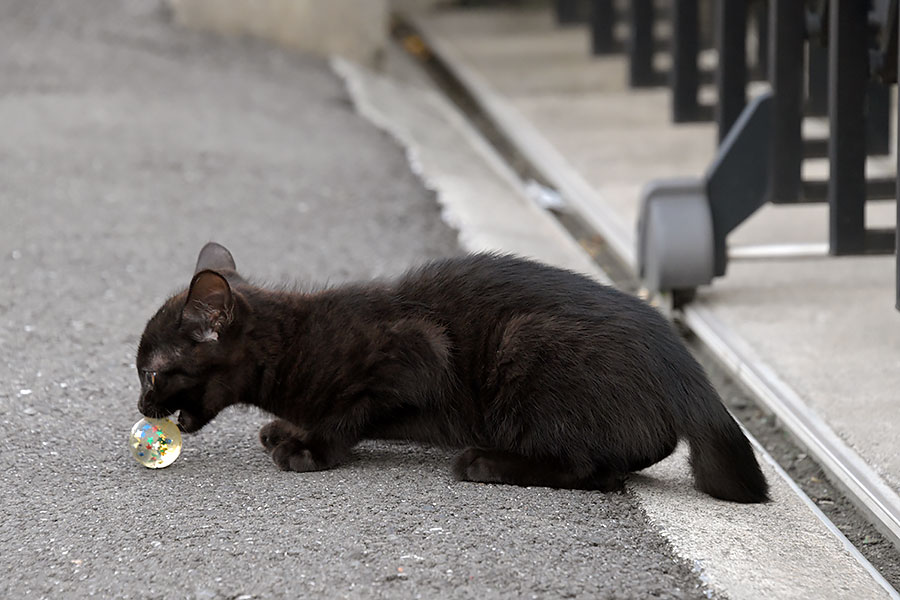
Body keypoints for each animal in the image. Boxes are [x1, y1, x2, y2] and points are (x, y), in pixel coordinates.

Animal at [139, 243, 768, 502]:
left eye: (151, 373)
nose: (141, 407)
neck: (296, 344)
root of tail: (687, 369)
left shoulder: (418, 354)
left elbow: (351, 413)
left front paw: (309, 446)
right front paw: (286, 430)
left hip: (527, 344)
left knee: (592, 470)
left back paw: (486, 463)